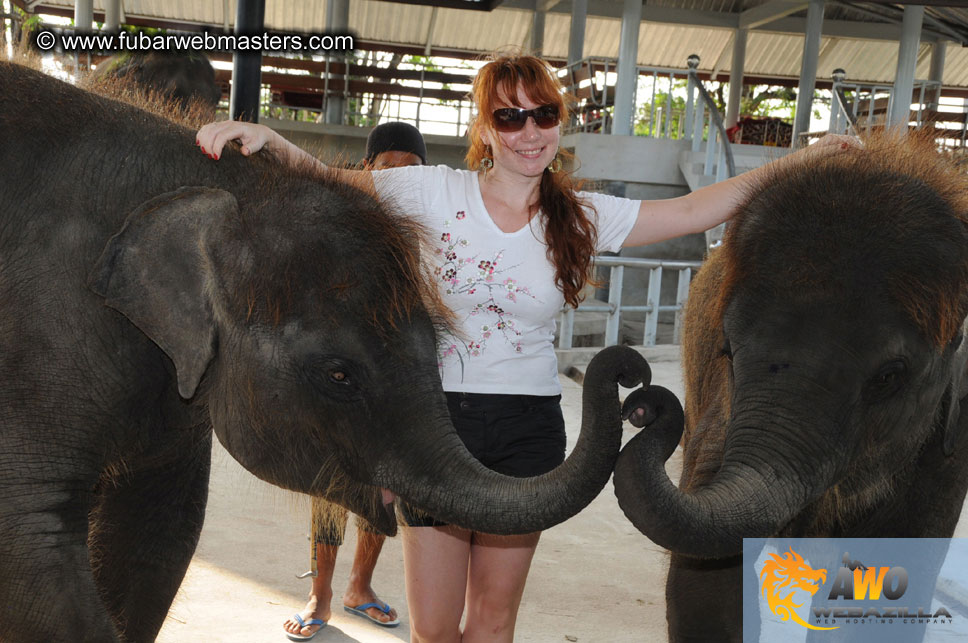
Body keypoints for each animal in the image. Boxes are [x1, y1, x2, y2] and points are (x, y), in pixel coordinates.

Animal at [0, 61, 644, 643]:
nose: (633, 374)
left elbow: (159, 537)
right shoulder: (43, 331)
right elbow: (31, 546)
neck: (238, 187)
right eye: (338, 375)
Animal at [616, 133, 968, 640]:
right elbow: (707, 583)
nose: (639, 406)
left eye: (890, 376)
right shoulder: (725, 412)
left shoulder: (949, 443)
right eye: (727, 350)